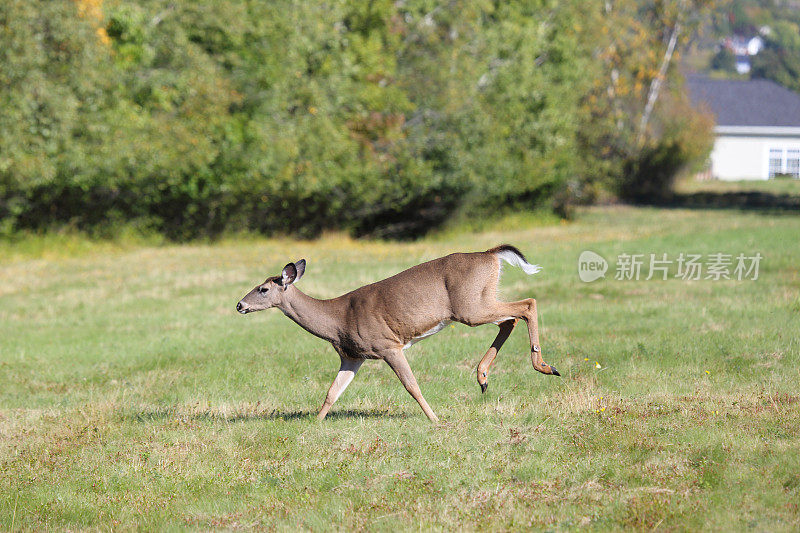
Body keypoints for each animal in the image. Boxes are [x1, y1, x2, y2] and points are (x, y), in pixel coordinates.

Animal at [234, 243, 560, 422]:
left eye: (263, 289)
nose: (239, 305)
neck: (337, 320)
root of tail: (491, 255)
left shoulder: (387, 345)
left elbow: (412, 386)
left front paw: (435, 418)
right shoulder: (352, 356)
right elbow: (332, 393)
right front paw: (315, 422)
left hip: (470, 306)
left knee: (527, 304)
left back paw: (544, 366)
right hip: (479, 301)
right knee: (510, 319)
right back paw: (483, 378)